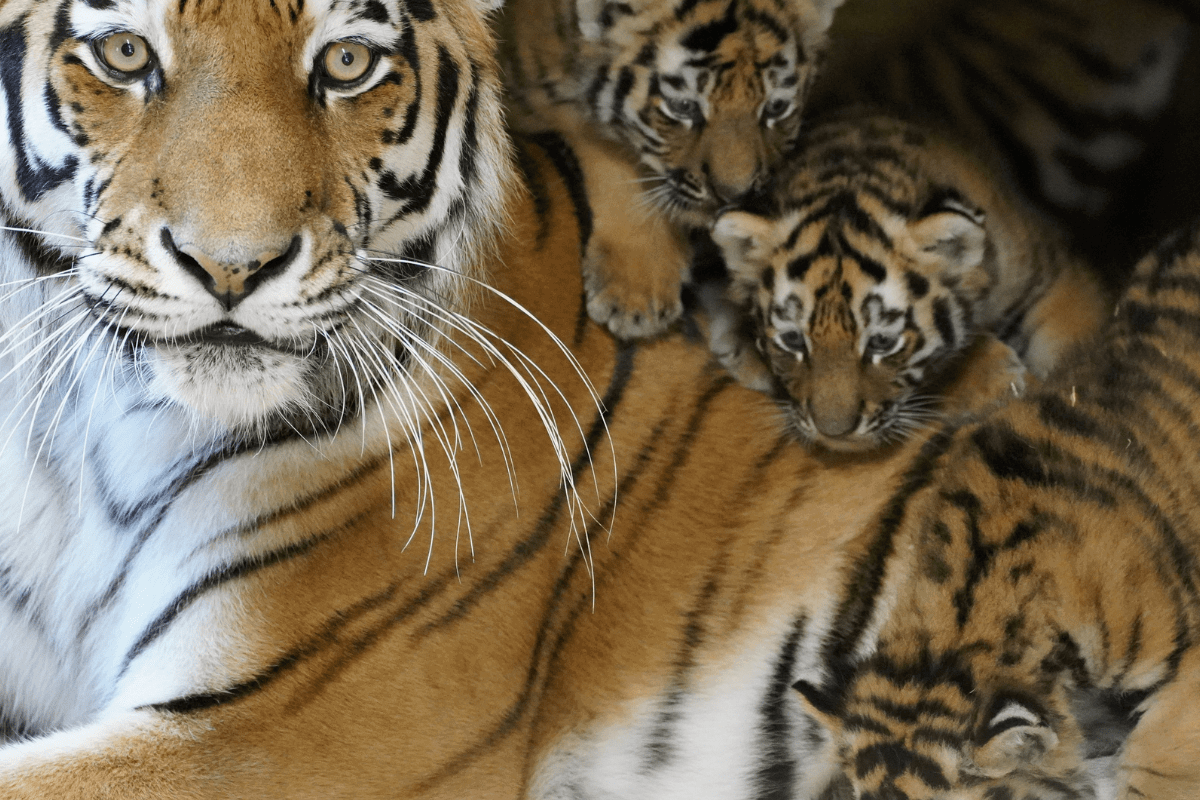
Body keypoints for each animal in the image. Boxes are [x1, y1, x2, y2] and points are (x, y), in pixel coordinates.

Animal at [494, 0, 846, 338]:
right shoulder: (533, 98)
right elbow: (614, 157)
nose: (733, 195)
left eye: (777, 107)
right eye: (683, 107)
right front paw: (635, 292)